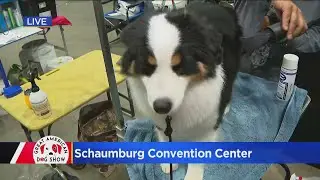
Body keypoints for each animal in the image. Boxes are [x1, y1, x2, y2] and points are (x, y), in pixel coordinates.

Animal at [120, 2, 242, 179]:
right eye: (147, 66)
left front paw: (193, 175)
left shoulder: (206, 124)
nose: (161, 107)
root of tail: (220, 5)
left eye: (180, 65)